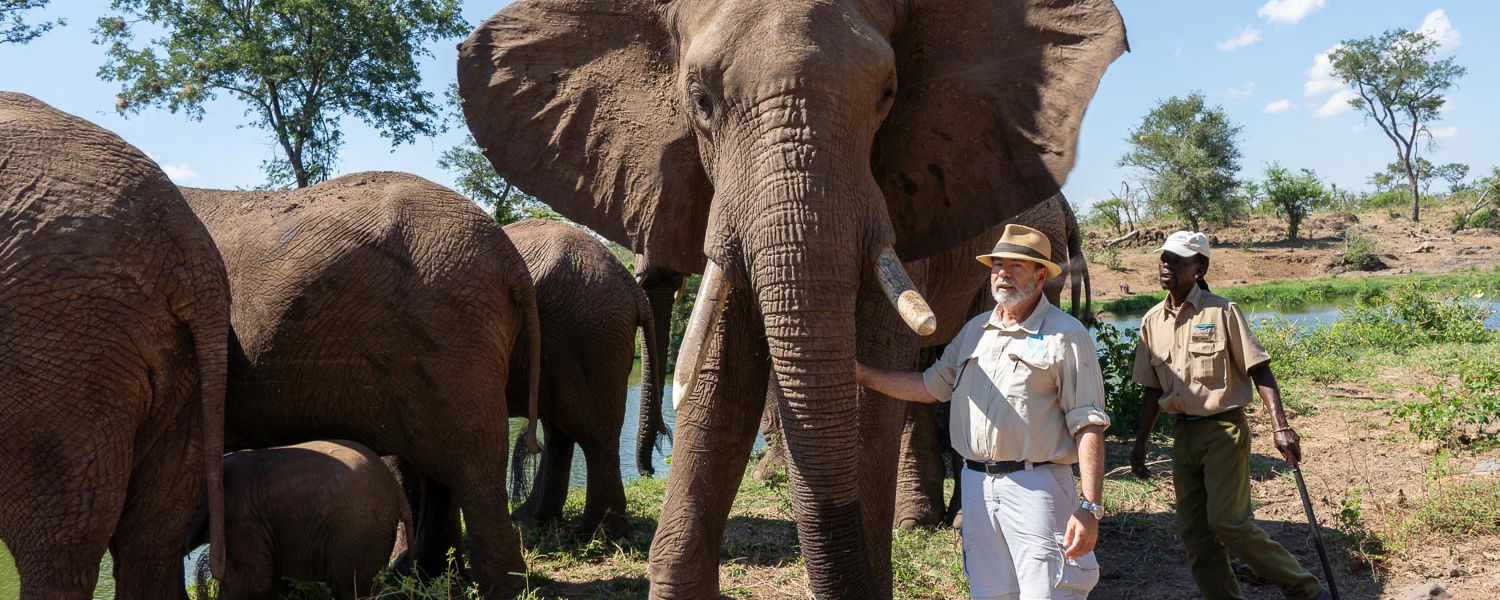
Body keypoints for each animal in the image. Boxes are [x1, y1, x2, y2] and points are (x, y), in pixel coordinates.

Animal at [504, 220, 663, 540]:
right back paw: (534, 519)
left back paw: (595, 534)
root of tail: (633, 288)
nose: (650, 473)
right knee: (561, 431)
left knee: (591, 434)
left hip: (585, 333)